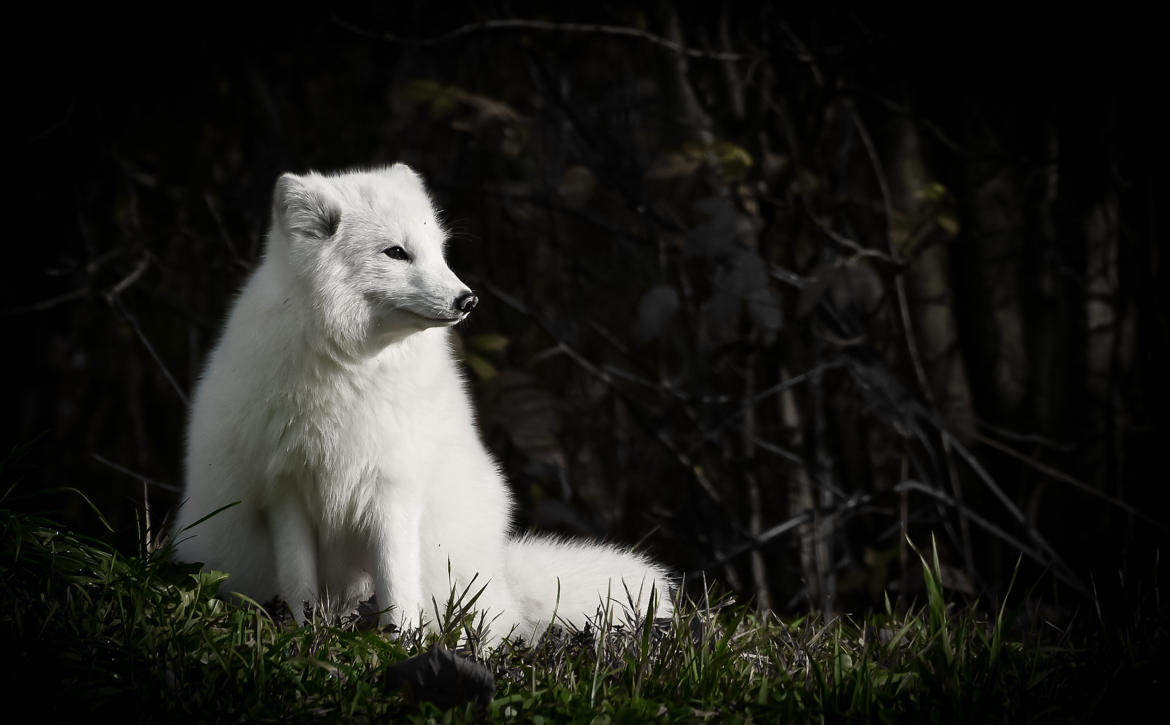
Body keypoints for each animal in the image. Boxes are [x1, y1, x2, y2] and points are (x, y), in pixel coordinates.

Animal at [170, 167, 673, 640]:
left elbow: (396, 584)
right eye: (396, 253)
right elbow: (299, 584)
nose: (468, 299)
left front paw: (401, 643)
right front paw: (303, 634)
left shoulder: (394, 488)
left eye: (440, 251)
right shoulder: (285, 490)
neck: (350, 370)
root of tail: (502, 570)